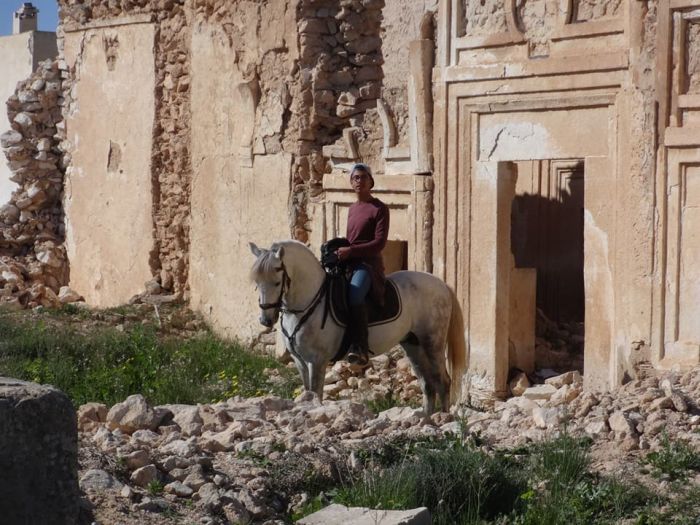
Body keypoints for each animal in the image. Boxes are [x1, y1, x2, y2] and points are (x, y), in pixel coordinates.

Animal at [247, 239, 464, 416]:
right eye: (256, 282)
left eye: (277, 282)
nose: (266, 320)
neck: (307, 304)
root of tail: (442, 284)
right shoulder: (300, 361)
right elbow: (308, 392)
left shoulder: (317, 361)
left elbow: (316, 395)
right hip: (413, 345)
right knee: (428, 384)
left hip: (432, 343)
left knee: (443, 382)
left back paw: (442, 419)